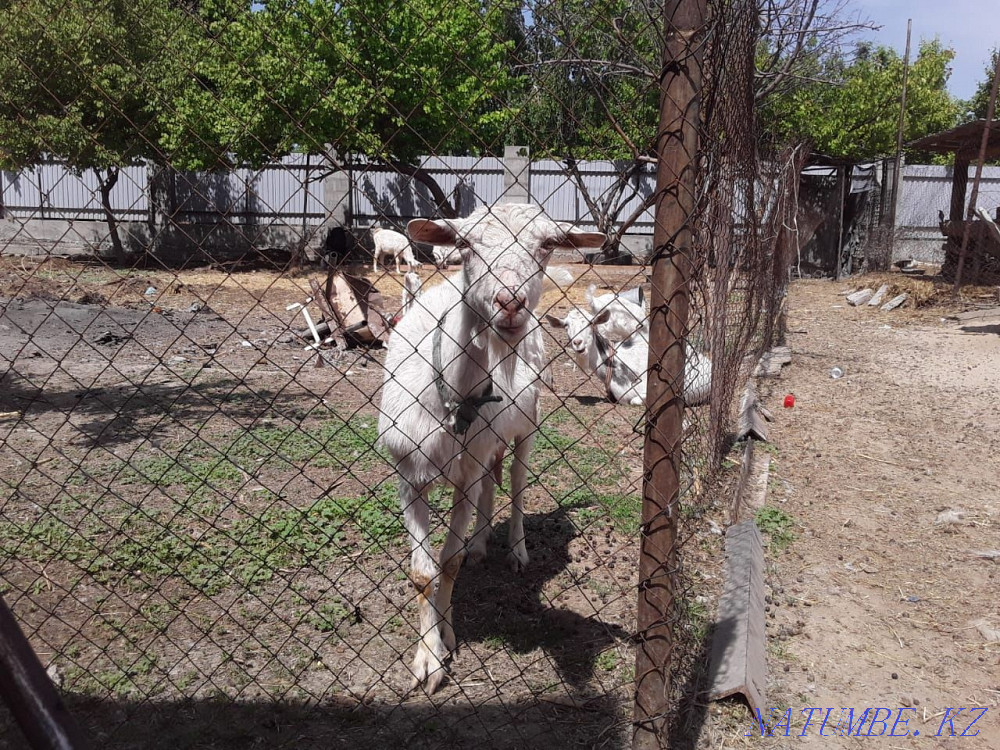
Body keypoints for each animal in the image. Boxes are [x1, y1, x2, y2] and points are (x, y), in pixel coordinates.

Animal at [378, 204, 605, 693]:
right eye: (464, 244)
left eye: (548, 244)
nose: (511, 303)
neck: (451, 398)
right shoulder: (408, 472)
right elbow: (424, 572)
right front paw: (428, 657)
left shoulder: (467, 470)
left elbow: (449, 563)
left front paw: (444, 637)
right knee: (489, 488)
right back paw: (482, 543)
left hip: (527, 424)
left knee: (515, 484)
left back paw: (514, 551)